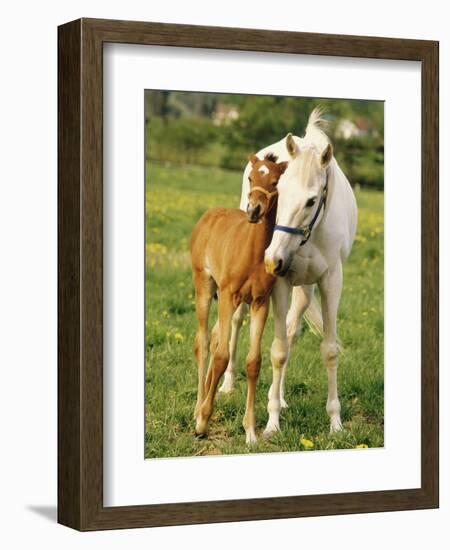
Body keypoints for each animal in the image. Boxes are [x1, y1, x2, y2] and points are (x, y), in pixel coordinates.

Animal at [188, 153, 286, 446]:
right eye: (251, 178)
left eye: (275, 181)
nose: (253, 210)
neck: (252, 252)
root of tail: (208, 215)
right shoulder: (229, 295)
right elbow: (221, 356)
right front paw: (202, 422)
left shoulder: (259, 302)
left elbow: (253, 362)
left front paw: (251, 431)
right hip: (205, 286)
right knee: (204, 342)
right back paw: (197, 408)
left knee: (215, 336)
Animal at [220, 109, 356, 440]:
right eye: (279, 192)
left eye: (311, 200)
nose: (272, 259)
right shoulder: (279, 282)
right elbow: (278, 351)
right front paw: (270, 424)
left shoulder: (330, 281)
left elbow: (328, 350)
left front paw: (335, 423)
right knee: (238, 320)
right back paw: (228, 383)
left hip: (304, 290)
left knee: (292, 330)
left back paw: (280, 397)